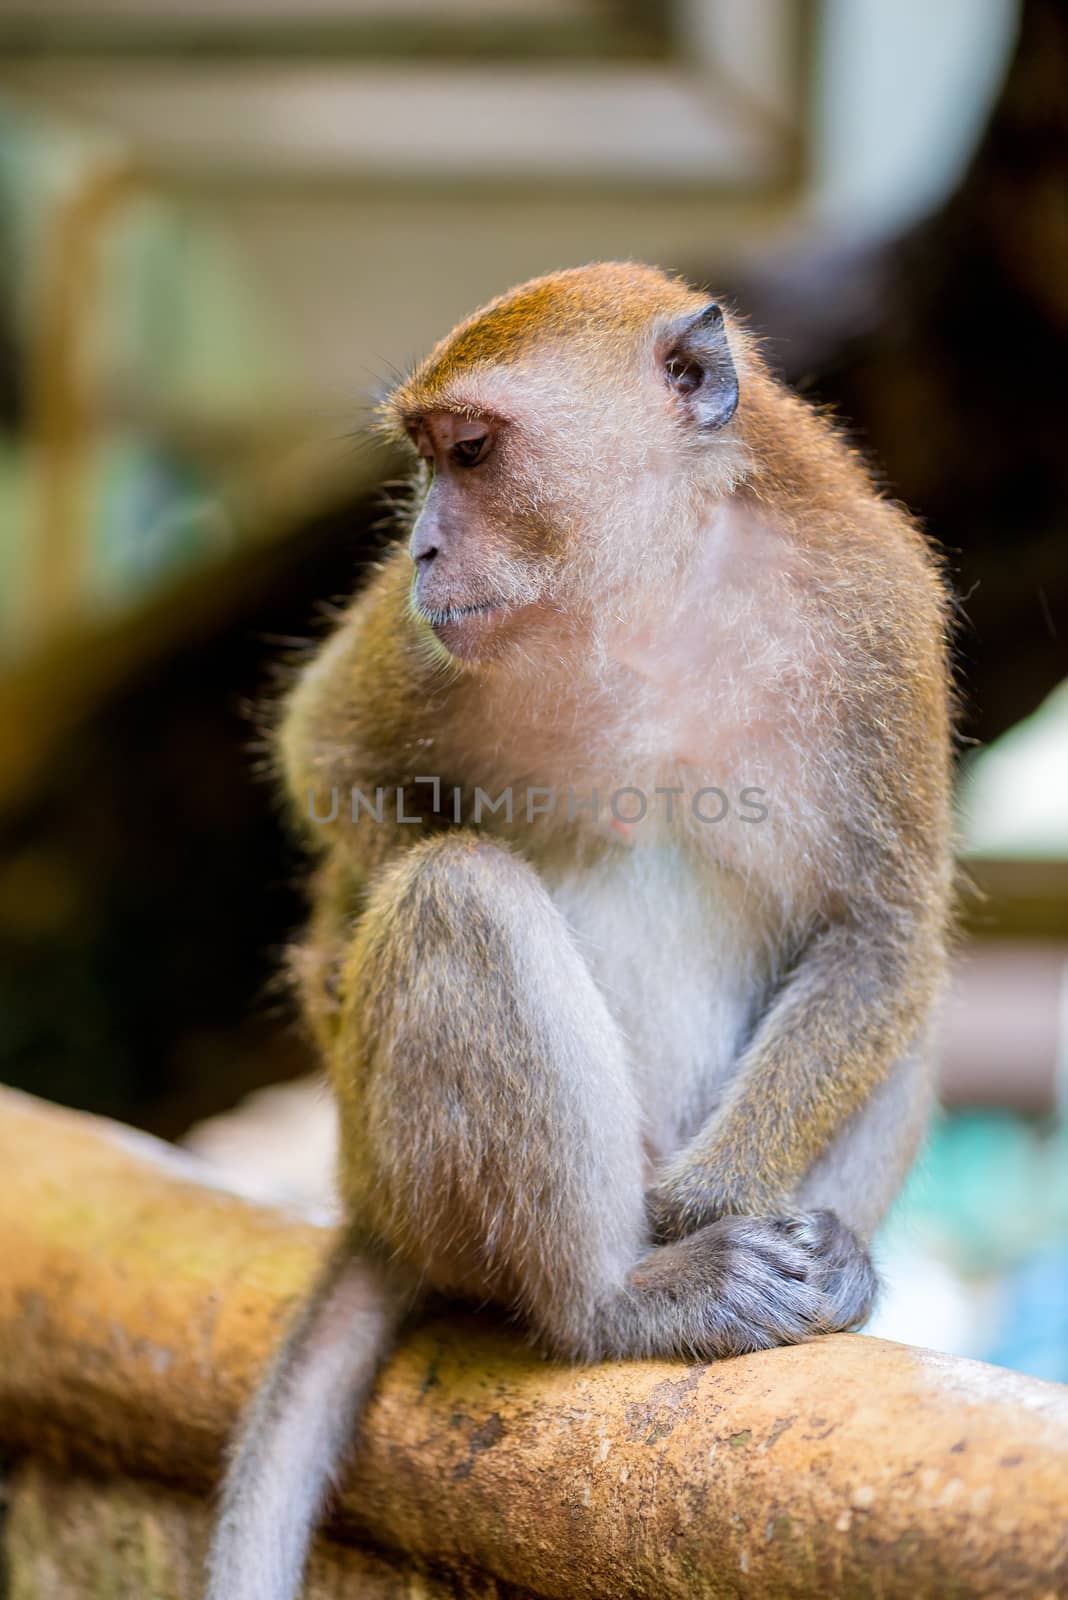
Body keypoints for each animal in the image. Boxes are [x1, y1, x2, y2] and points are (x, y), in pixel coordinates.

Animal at [204, 262, 952, 1600]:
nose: (421, 544)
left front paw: (715, 1193)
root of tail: (369, 1203)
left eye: (474, 452)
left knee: (899, 992)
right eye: (429, 458)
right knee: (459, 892)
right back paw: (613, 1300)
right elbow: (330, 758)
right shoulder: (425, 642)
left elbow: (881, 931)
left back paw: (829, 1256)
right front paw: (329, 963)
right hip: (402, 1171)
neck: (658, 590)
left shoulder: (877, 612)